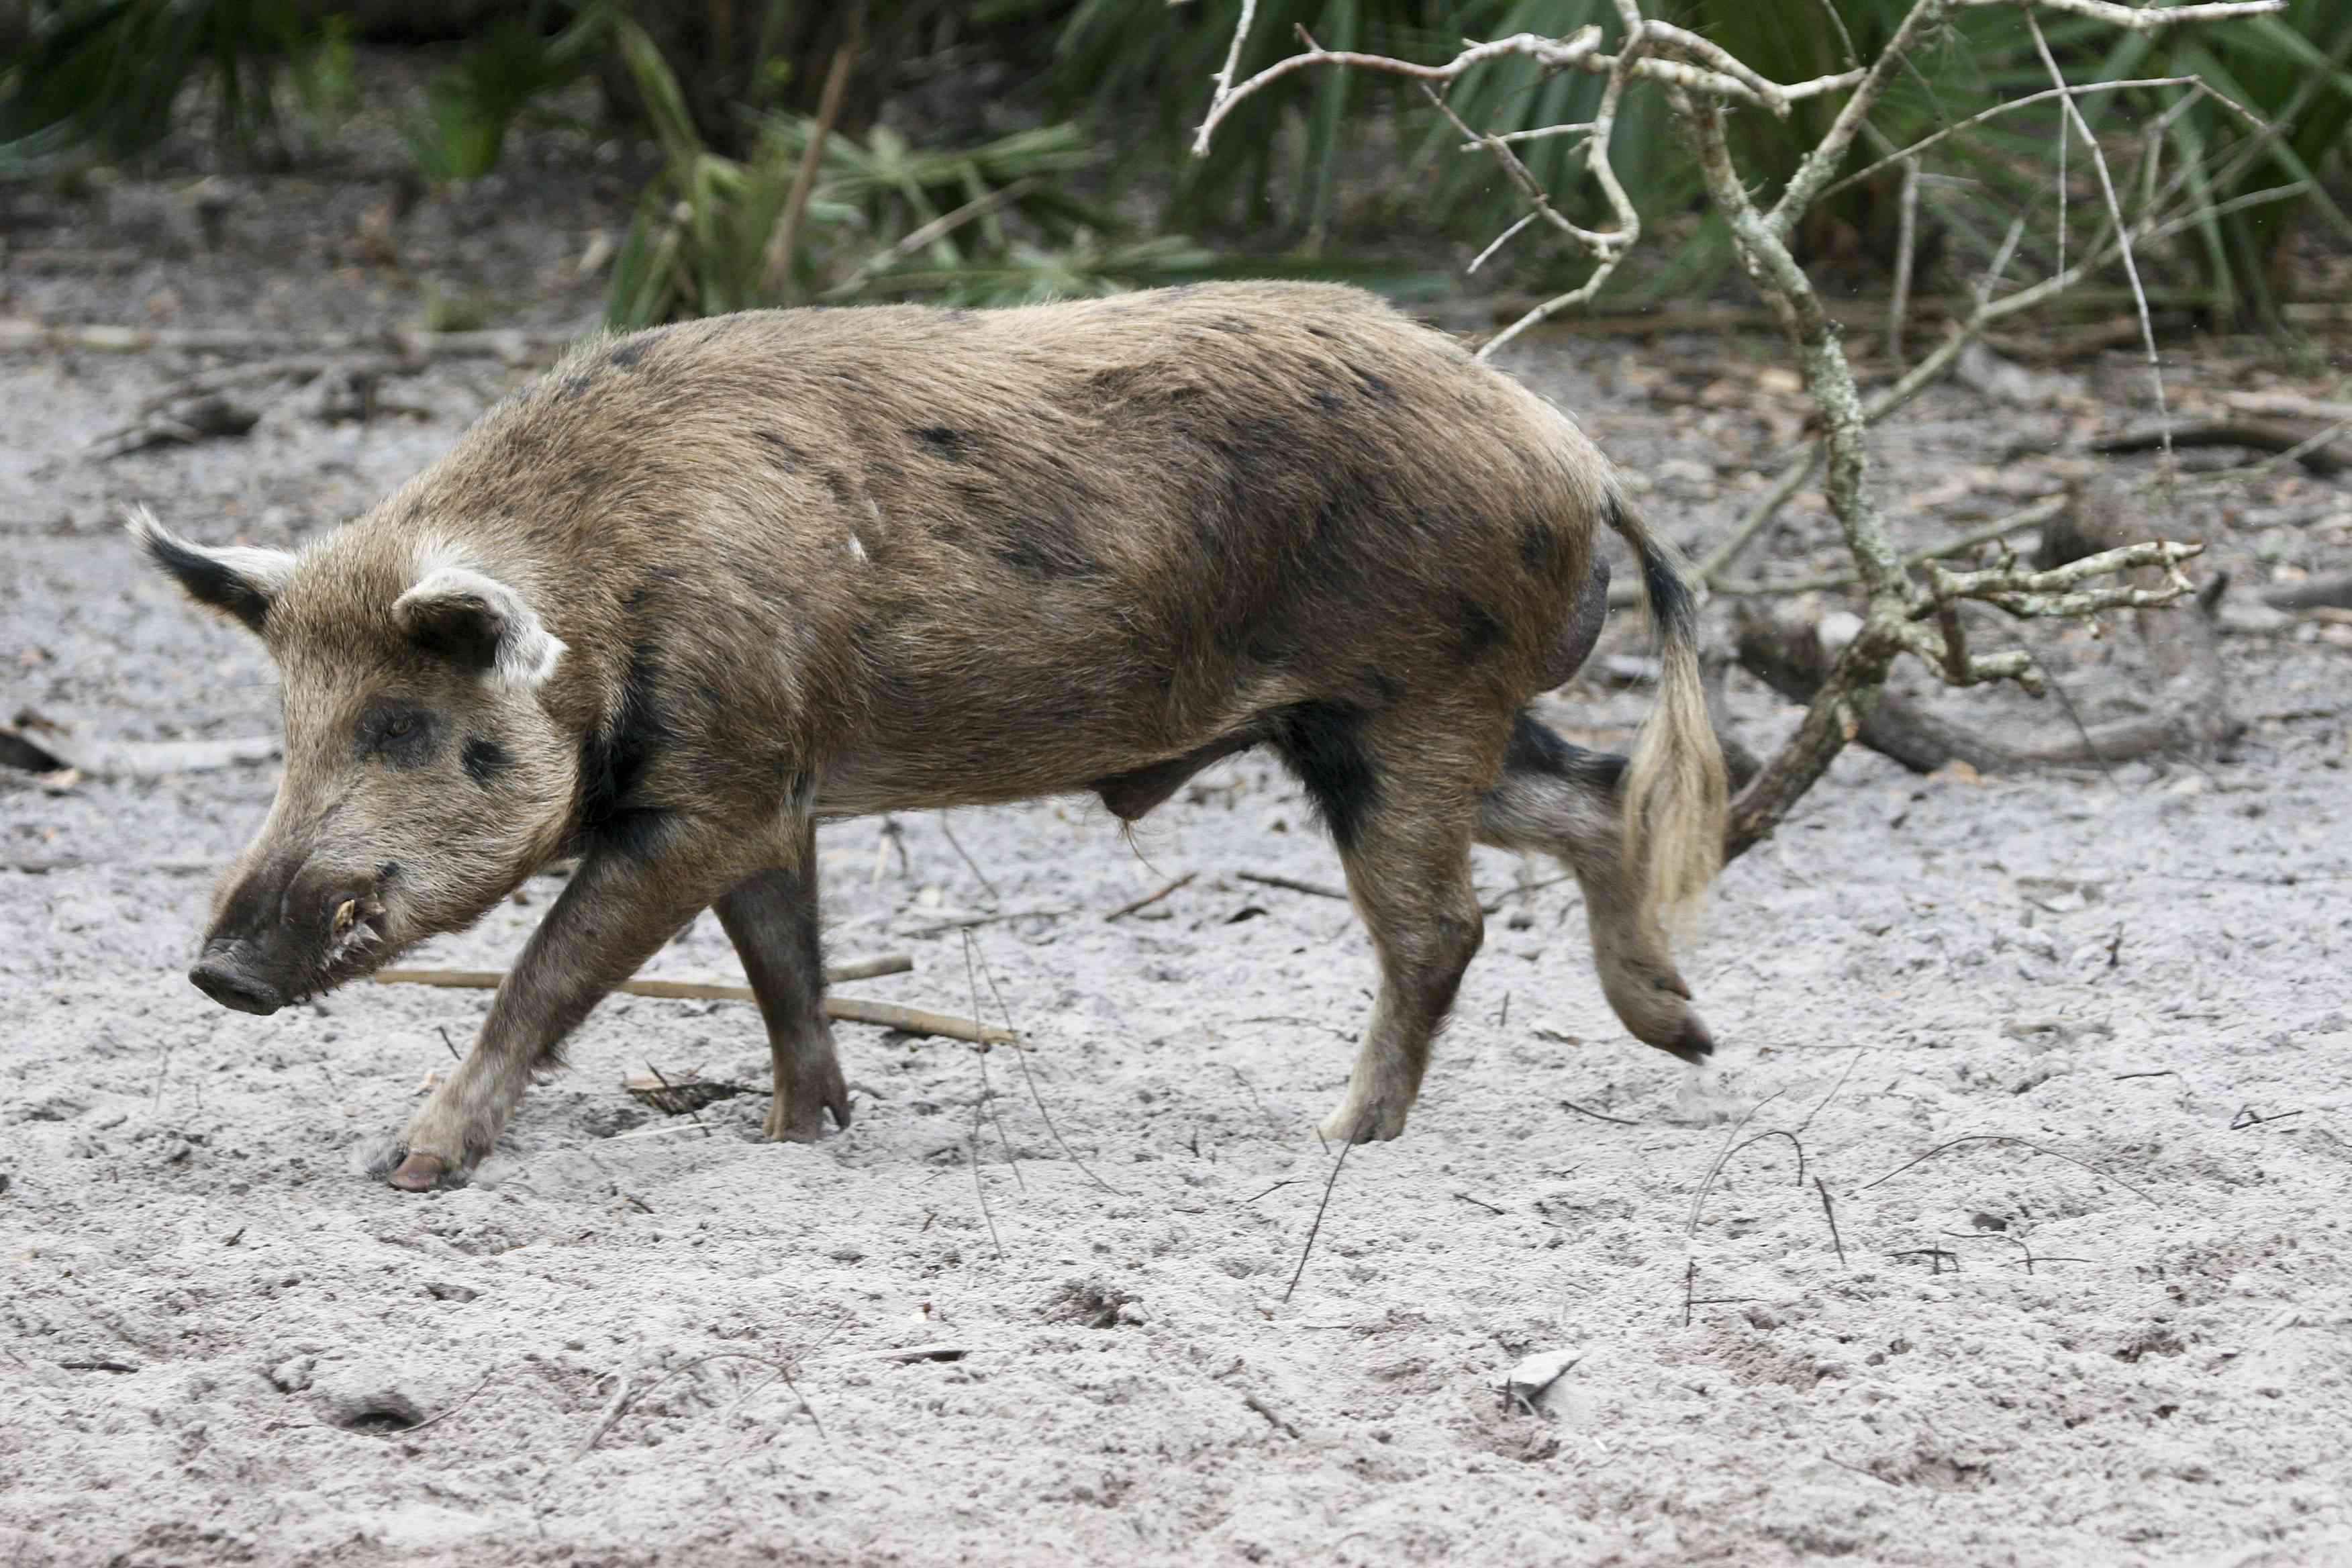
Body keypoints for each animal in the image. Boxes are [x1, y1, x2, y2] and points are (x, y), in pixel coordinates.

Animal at [142, 282, 1730, 1189]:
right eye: (287, 726)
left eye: (403, 723)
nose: (217, 971)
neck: (608, 583)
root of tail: (1576, 454)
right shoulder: (768, 792)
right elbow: (786, 968)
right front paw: (799, 1139)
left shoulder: (714, 788)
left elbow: (548, 972)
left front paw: (408, 1169)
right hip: (1380, 721)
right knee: (1597, 797)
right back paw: (1684, 1035)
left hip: (1402, 701)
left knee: (1441, 925)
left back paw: (1334, 1138)